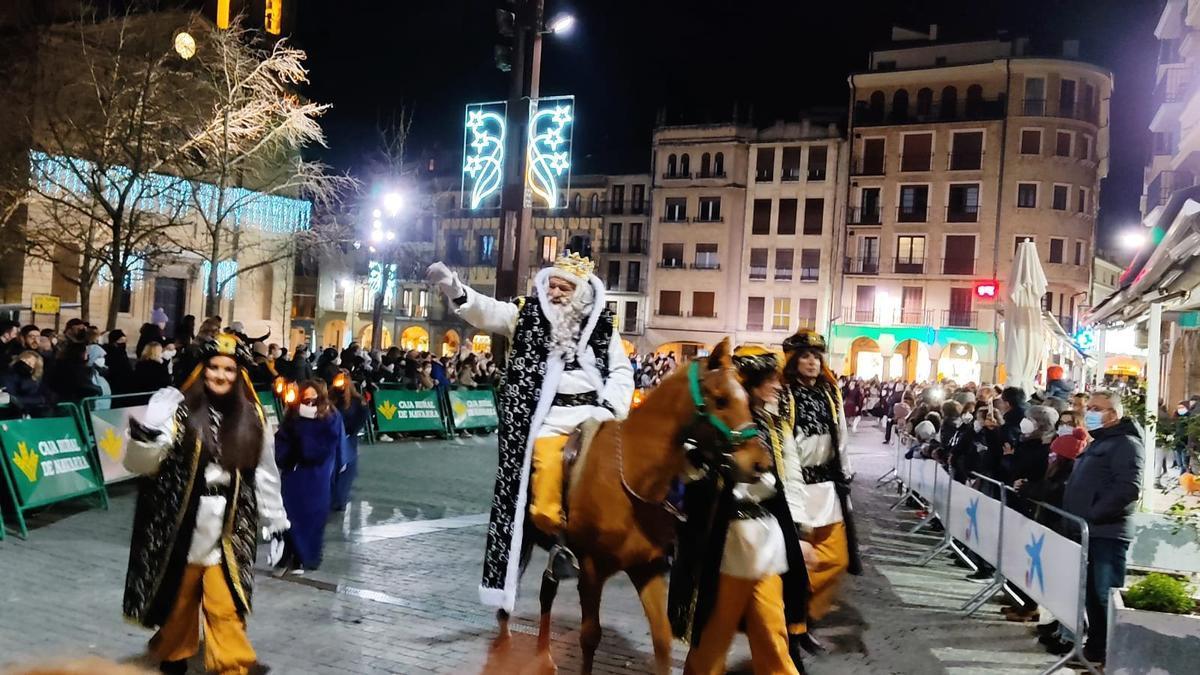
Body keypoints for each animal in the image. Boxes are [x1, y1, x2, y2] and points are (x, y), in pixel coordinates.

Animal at [494, 338, 768, 667]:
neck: (631, 474)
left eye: (746, 398)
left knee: (547, 591)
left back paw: (544, 655)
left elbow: (662, 640)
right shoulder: (591, 571)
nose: (759, 463)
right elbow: (590, 637)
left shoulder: (647, 569)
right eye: (721, 399)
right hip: (521, 540)